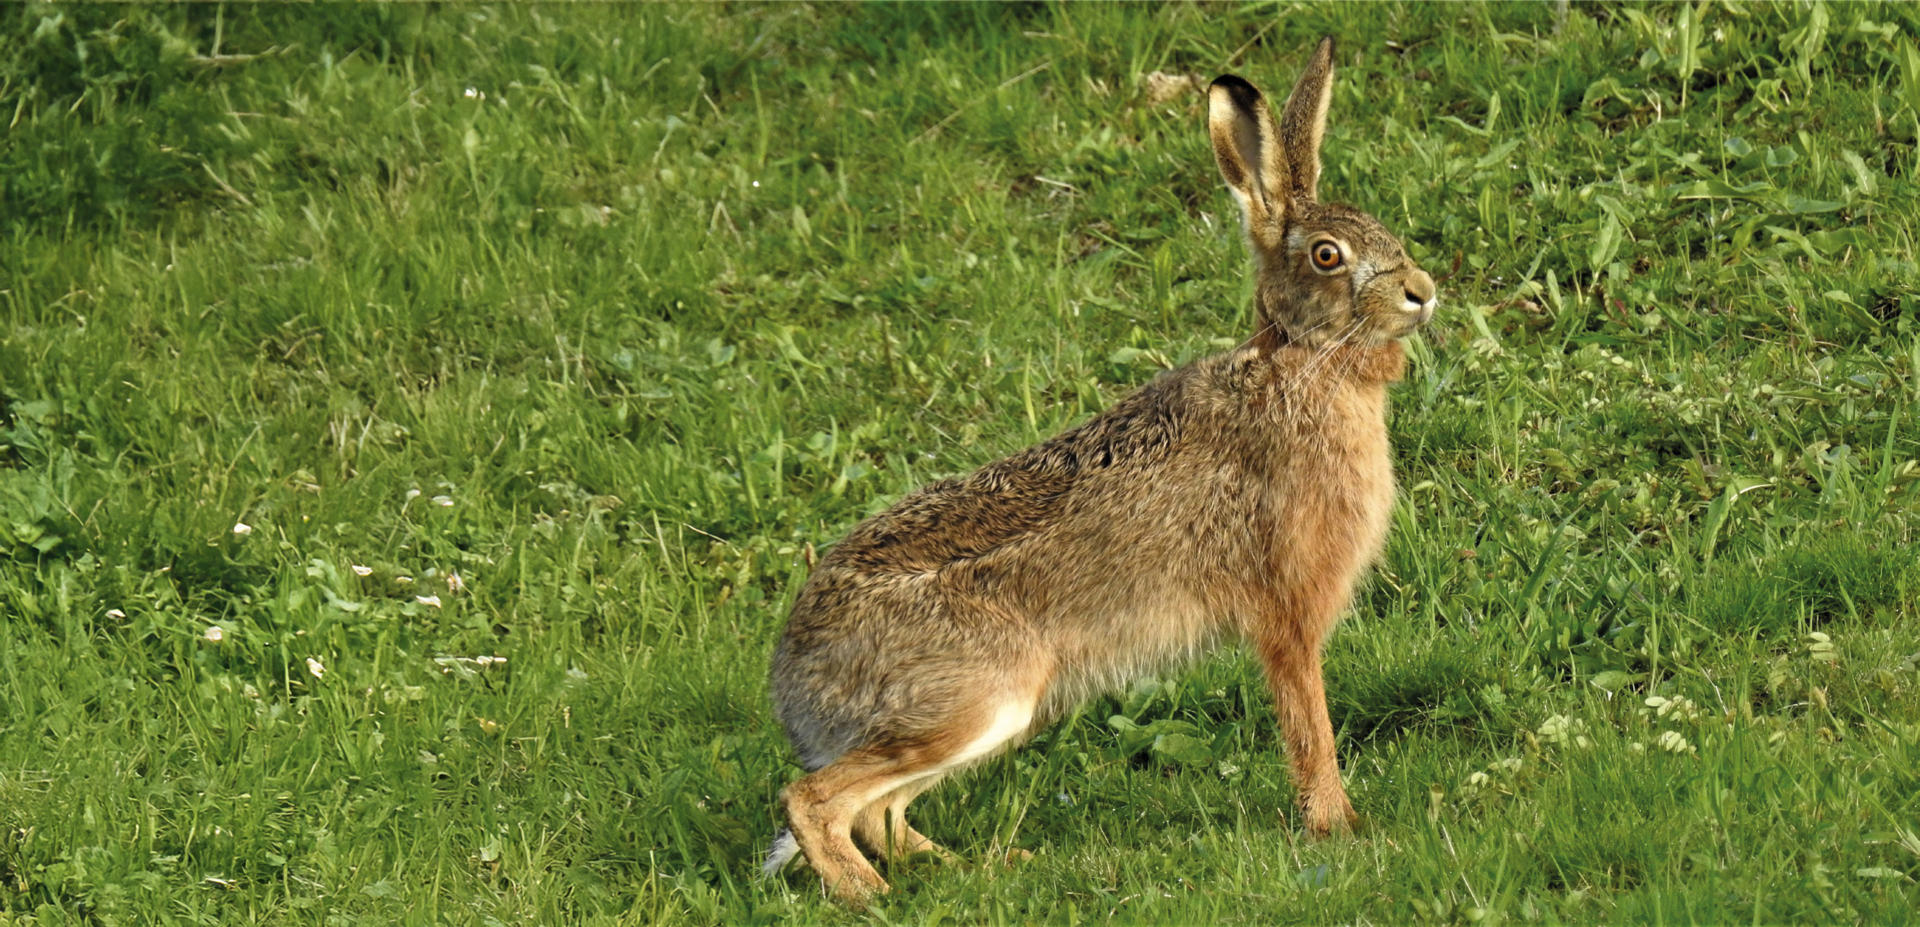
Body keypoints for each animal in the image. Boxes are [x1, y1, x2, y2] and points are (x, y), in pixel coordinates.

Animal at [764, 36, 1437, 904]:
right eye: (1328, 255)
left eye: (1382, 231)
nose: (1423, 292)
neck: (1303, 361)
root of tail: (796, 687)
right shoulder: (1288, 609)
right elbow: (1308, 723)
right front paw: (1340, 826)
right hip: (977, 698)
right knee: (815, 799)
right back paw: (870, 897)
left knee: (876, 811)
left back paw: (981, 868)